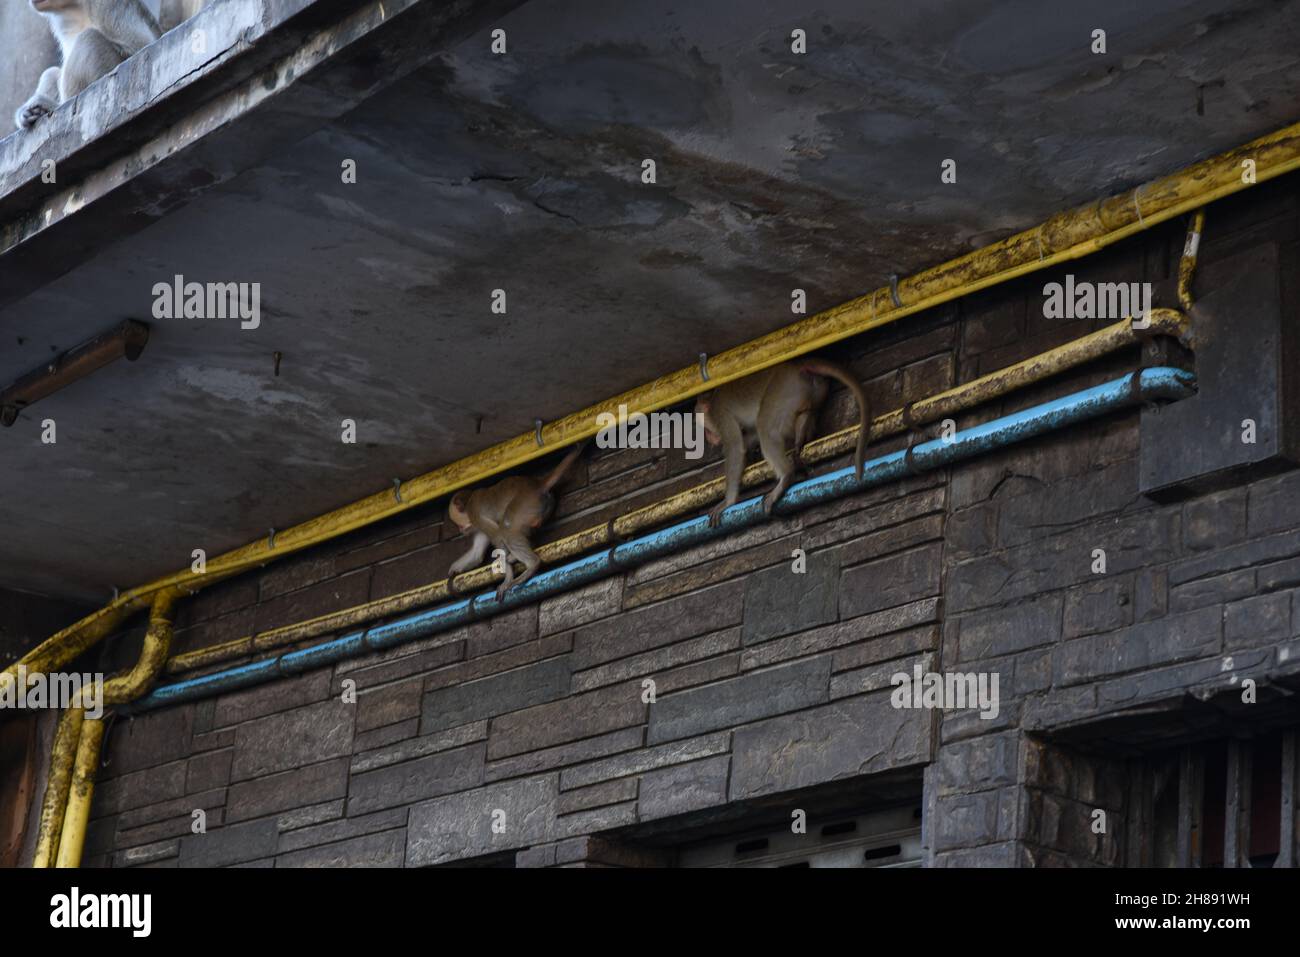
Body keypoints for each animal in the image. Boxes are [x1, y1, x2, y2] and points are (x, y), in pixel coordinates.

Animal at [14, 0, 161, 132]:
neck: (75, 6)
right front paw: (23, 114)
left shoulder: (106, 4)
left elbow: (139, 47)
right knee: (52, 72)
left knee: (89, 38)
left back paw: (52, 106)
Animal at [449, 442, 587, 598]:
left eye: (459, 525)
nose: (461, 531)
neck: (469, 502)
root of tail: (537, 485)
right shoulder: (477, 526)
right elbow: (477, 553)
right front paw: (453, 570)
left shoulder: (475, 515)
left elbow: (499, 537)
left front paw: (507, 578)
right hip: (545, 505)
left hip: (526, 503)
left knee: (507, 528)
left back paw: (531, 565)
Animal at [696, 356, 868, 527]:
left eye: (706, 429)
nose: (708, 438)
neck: (712, 401)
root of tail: (797, 365)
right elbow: (747, 439)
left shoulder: (720, 414)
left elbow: (736, 448)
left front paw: (728, 502)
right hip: (815, 388)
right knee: (804, 413)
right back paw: (802, 431)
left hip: (783, 388)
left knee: (765, 427)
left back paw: (786, 476)